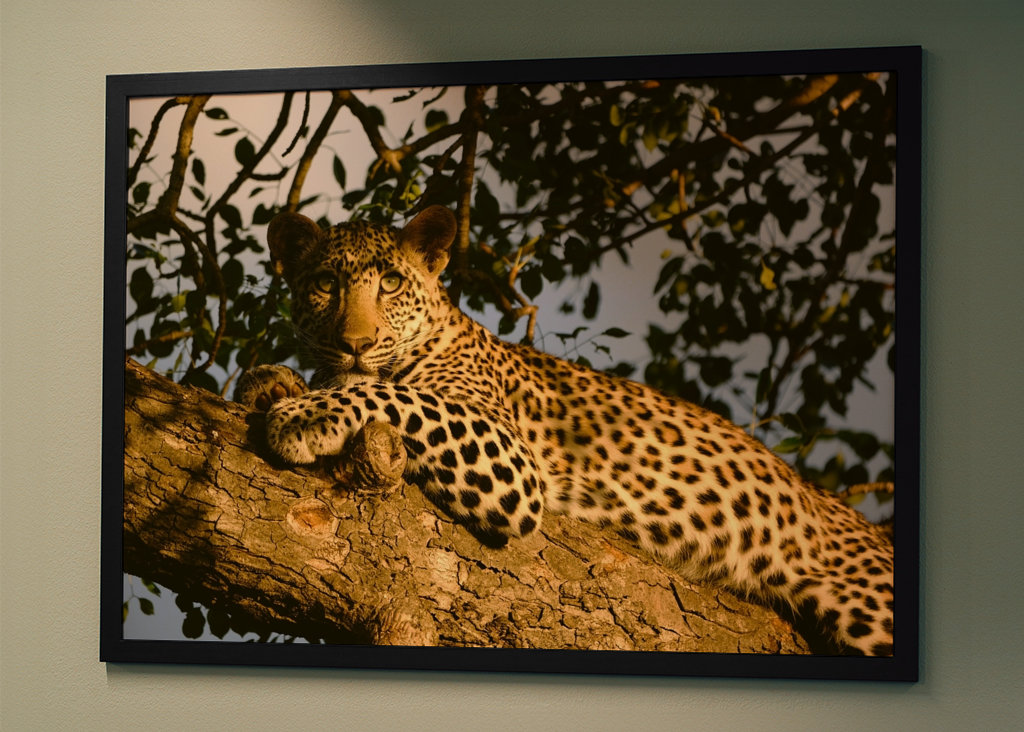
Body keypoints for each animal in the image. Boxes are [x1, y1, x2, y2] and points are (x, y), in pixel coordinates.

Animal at [237, 204, 895, 656]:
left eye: (392, 284)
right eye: (325, 284)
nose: (356, 343)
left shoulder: (509, 458)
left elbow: (393, 393)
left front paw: (303, 415)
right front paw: (272, 382)